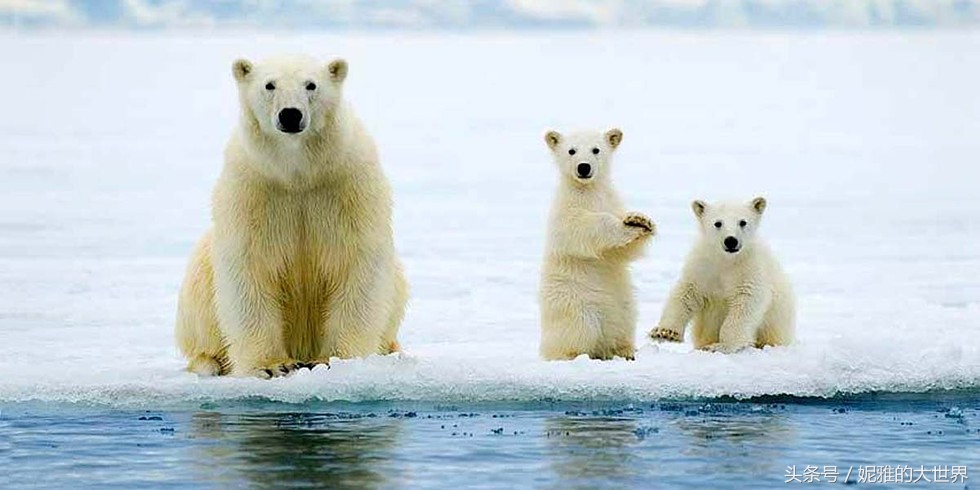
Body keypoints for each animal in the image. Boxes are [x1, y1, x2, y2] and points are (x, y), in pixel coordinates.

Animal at [176, 57, 406, 378]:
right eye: (269, 85)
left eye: (311, 85)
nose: (290, 115)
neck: (298, 172)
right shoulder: (252, 191)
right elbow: (249, 268)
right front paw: (272, 365)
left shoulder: (348, 186)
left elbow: (356, 263)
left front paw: (333, 360)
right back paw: (208, 362)